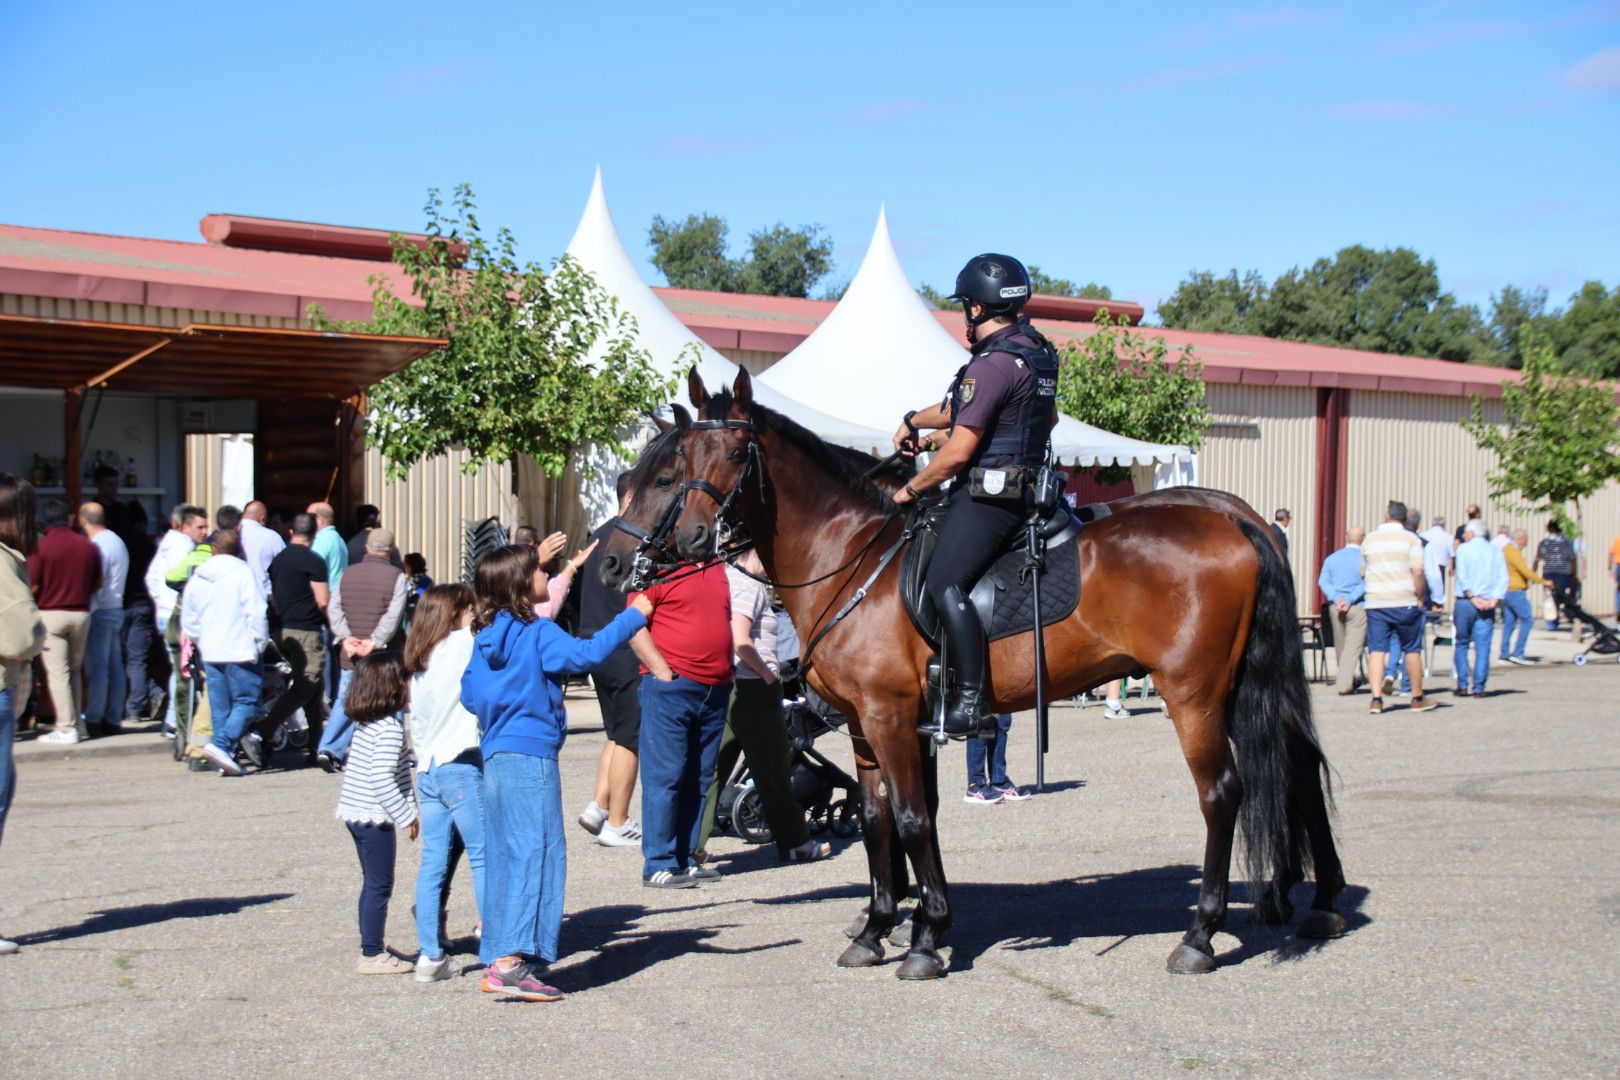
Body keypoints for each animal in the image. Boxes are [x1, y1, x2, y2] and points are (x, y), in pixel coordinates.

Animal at [602, 372, 1347, 977]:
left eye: (726, 456)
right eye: (675, 464)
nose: (619, 563)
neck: (847, 556)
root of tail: (1241, 525)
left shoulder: (891, 717)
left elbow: (910, 819)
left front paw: (926, 936)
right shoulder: (870, 726)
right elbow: (878, 819)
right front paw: (880, 925)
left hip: (1194, 696)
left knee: (1224, 794)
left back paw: (1201, 934)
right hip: (1245, 689)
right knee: (1297, 769)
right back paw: (1316, 899)